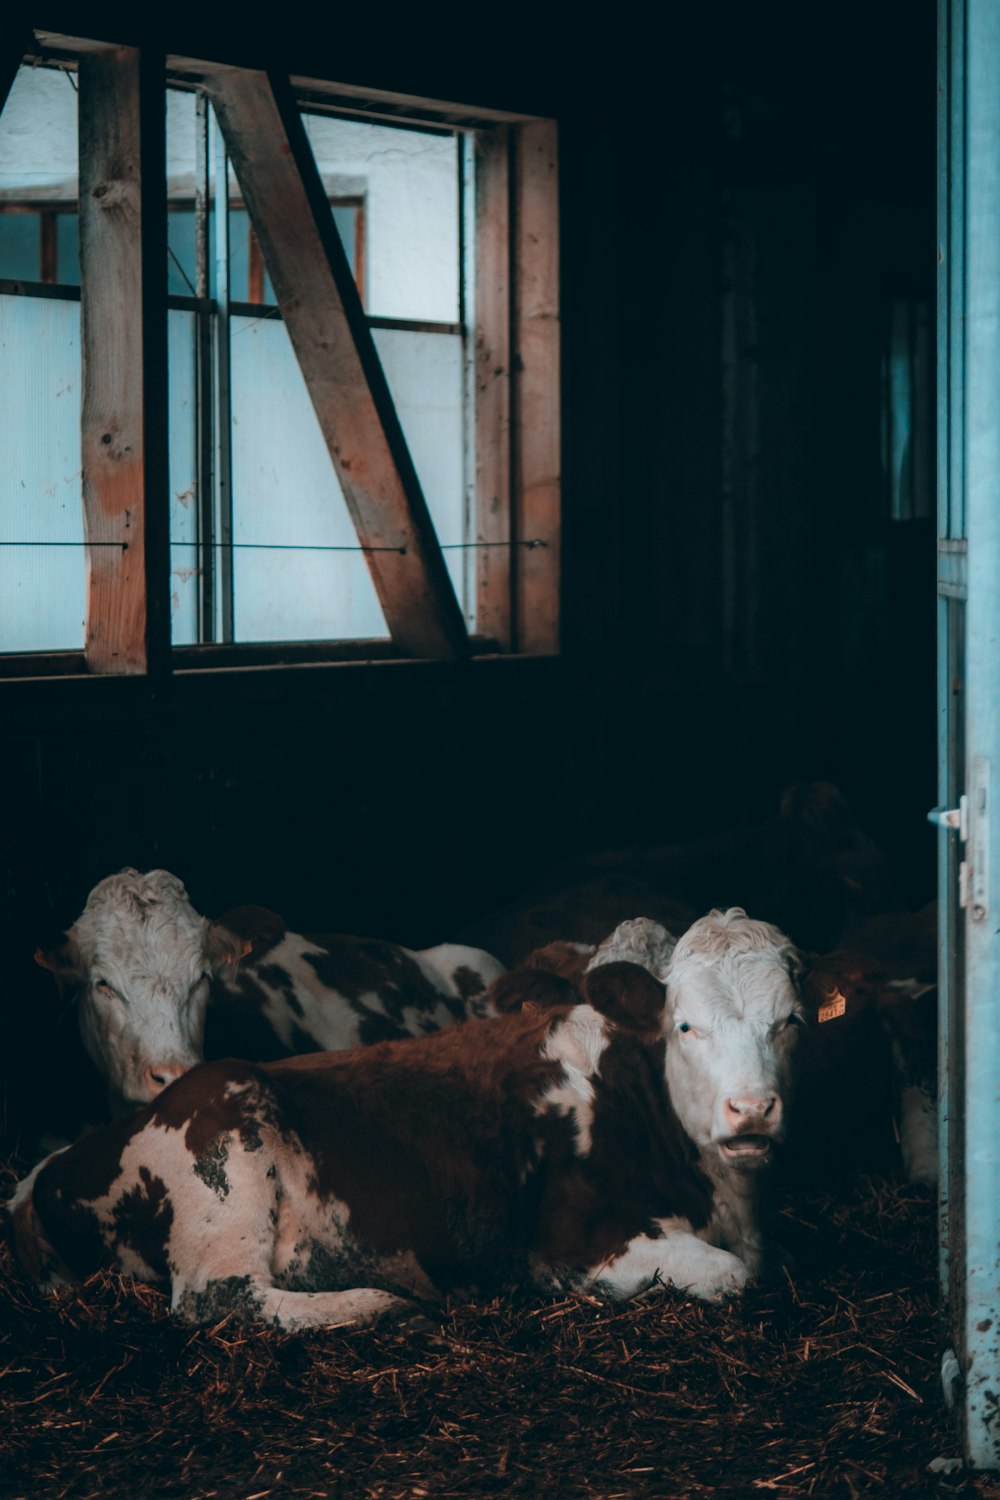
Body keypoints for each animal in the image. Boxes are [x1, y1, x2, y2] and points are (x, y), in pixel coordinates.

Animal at [5, 906, 803, 1332]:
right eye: (684, 1025)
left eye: (790, 1021)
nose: (751, 1109)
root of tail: (51, 1168)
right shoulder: (573, 1242)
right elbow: (735, 1275)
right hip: (225, 1152)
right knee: (220, 1297)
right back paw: (380, 1300)